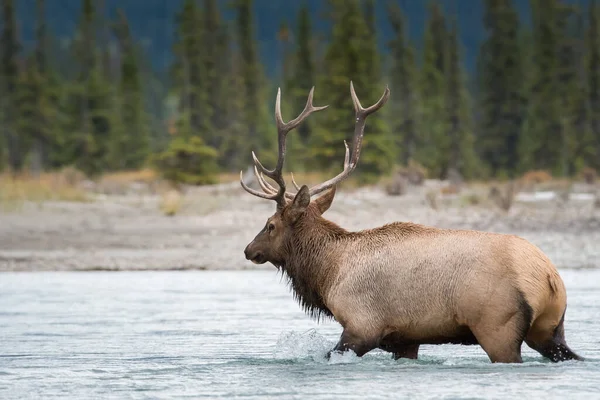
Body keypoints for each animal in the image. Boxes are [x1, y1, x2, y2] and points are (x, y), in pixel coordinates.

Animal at [239, 83, 580, 364]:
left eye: (270, 224)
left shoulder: (361, 326)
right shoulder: (405, 339)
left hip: (498, 326)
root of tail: (548, 275)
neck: (327, 272)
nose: (248, 250)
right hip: (550, 329)